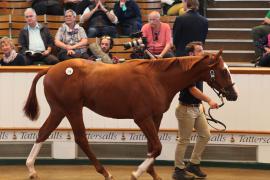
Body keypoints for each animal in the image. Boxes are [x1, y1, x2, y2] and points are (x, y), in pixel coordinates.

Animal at [24, 50, 237, 180]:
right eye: (223, 71)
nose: (233, 95)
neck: (157, 79)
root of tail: (50, 69)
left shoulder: (155, 116)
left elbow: (153, 146)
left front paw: (153, 174)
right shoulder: (141, 118)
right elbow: (157, 147)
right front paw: (137, 173)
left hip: (59, 110)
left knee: (43, 132)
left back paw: (32, 169)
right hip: (72, 109)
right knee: (81, 138)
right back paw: (106, 172)